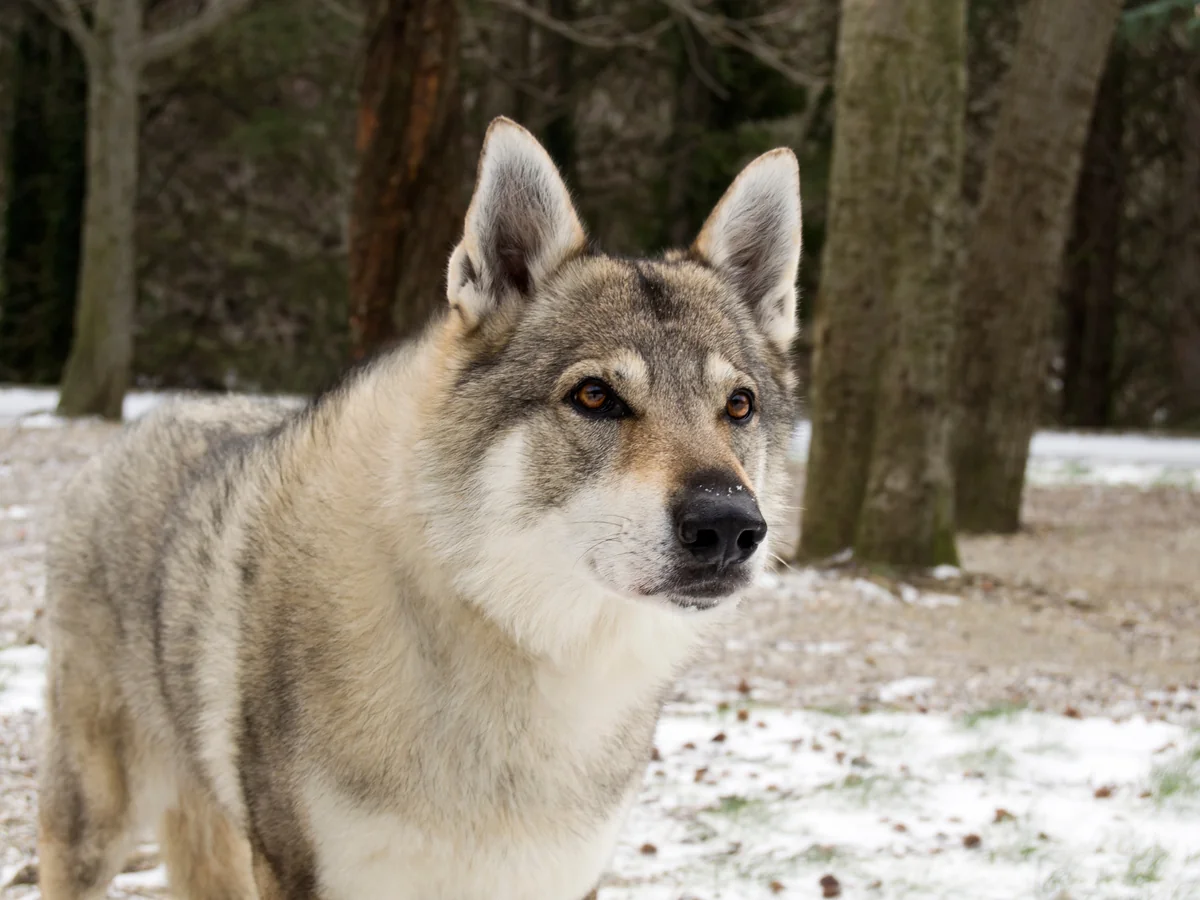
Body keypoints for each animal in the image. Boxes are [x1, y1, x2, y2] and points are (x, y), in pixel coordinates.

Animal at [37, 117, 801, 900]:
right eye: (595, 397)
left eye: (738, 406)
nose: (729, 526)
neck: (520, 650)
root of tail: (144, 424)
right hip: (95, 824)